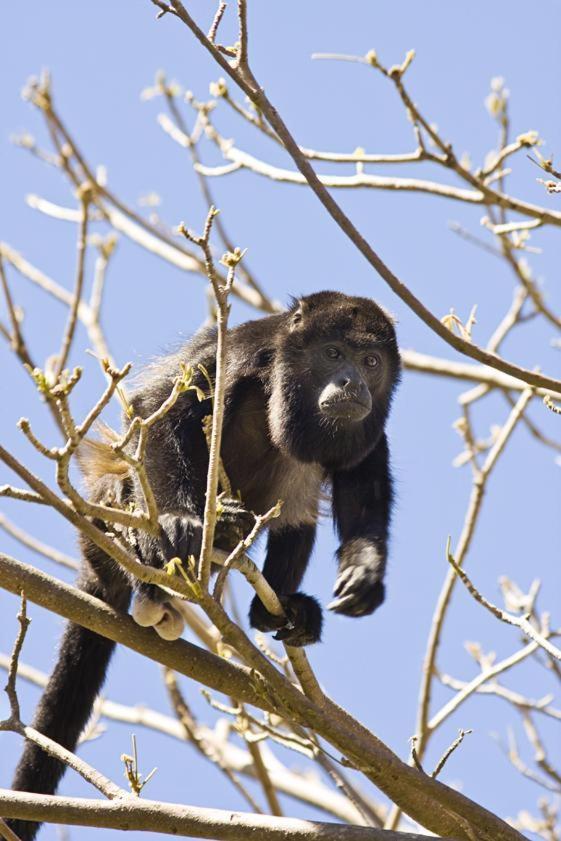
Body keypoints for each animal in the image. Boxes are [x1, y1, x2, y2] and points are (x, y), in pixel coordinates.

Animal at [7, 290, 398, 840]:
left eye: (371, 362)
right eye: (333, 354)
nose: (353, 384)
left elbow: (363, 469)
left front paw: (366, 570)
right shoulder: (241, 351)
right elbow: (161, 411)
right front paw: (176, 519)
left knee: (299, 493)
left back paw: (277, 607)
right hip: (106, 512)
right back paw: (165, 546)